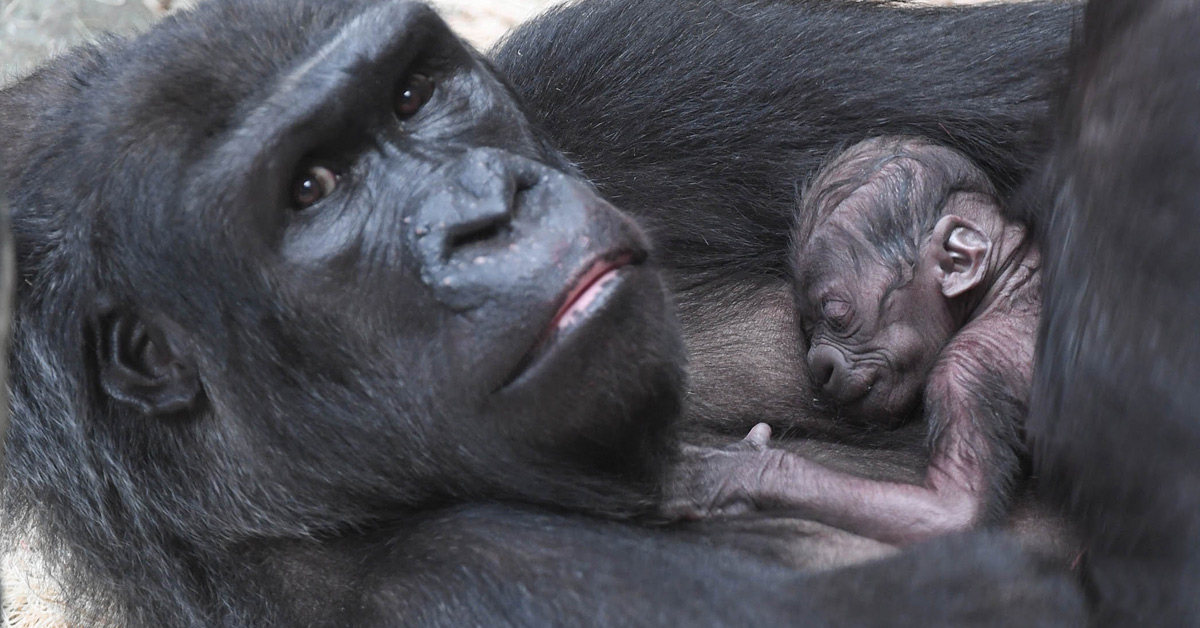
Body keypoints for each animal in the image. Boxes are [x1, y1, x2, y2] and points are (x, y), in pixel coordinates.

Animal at [667, 137, 1041, 545]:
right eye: (808, 327)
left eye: (836, 315)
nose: (819, 366)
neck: (1004, 281)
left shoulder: (964, 367)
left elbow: (954, 513)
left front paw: (737, 471)